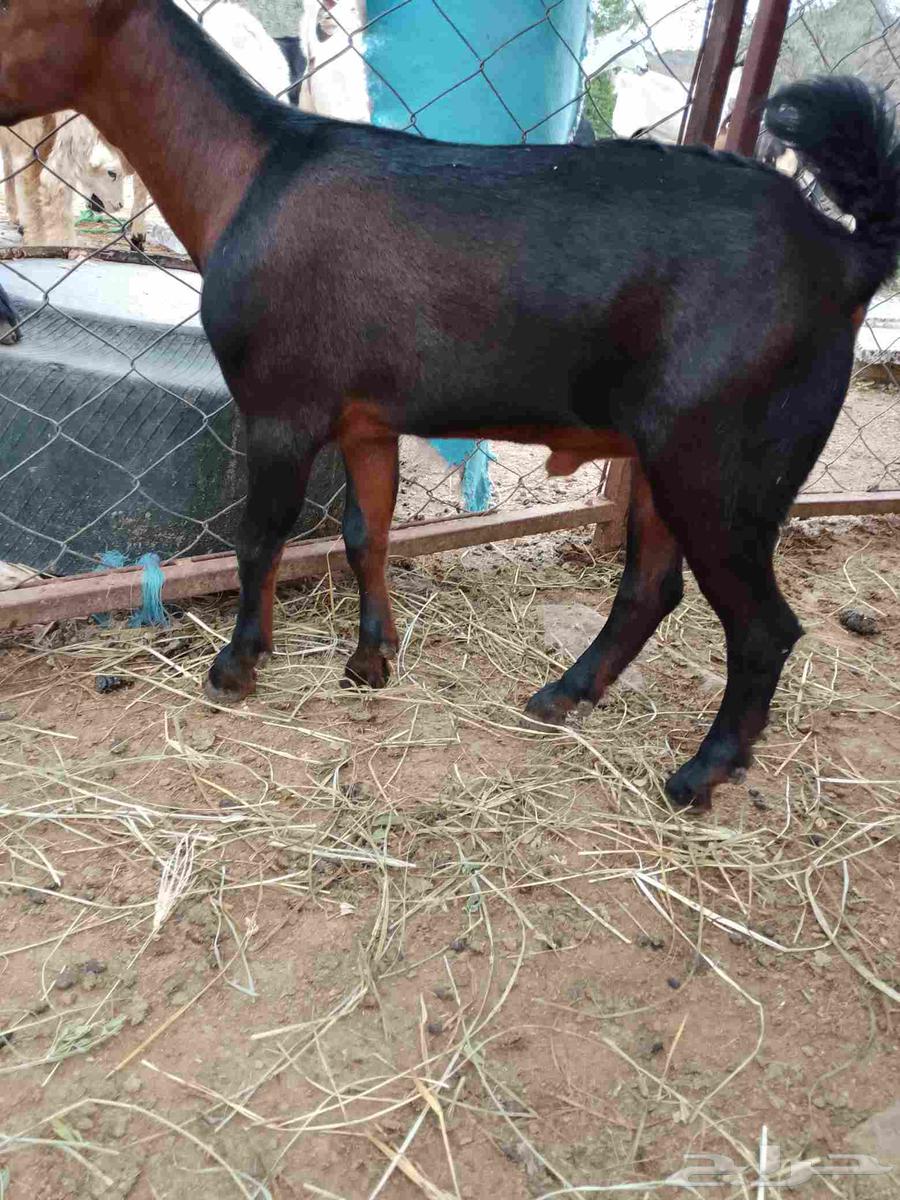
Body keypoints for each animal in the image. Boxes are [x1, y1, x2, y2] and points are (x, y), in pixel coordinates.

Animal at [1, 1, 897, 811]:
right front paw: (371, 660)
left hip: (721, 462)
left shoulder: (281, 407)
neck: (252, 171)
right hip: (665, 455)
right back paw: (562, 696)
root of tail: (847, 257)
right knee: (650, 587)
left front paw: (236, 667)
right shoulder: (368, 422)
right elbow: (365, 535)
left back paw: (699, 774)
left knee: (762, 627)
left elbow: (259, 541)